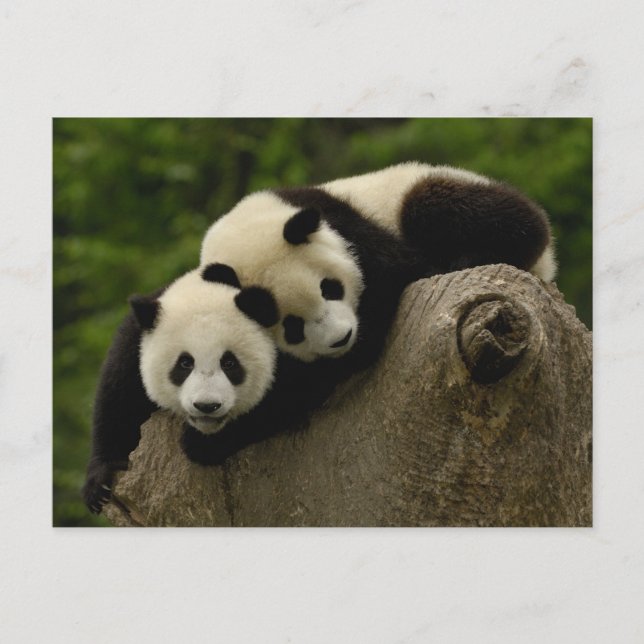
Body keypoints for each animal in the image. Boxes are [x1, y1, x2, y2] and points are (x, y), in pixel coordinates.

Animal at [82, 265, 284, 514]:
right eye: (185, 363)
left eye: (229, 363)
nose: (207, 406)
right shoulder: (136, 339)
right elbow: (118, 396)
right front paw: (100, 481)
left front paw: (200, 444)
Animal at [200, 161, 556, 370]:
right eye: (291, 326)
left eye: (330, 288)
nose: (342, 339)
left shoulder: (343, 223)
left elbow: (398, 272)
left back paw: (468, 257)